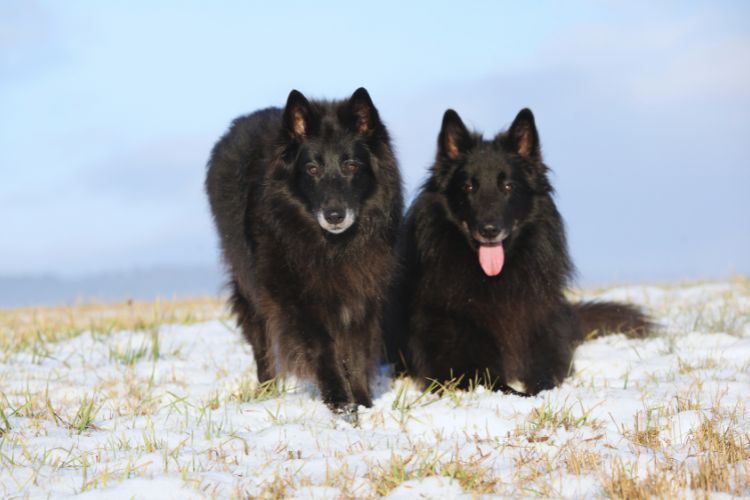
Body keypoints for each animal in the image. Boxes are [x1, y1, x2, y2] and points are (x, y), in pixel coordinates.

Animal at [204, 88, 406, 412]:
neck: (331, 246)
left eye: (351, 165)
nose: (334, 215)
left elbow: (356, 353)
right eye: (312, 169)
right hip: (250, 288)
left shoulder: (361, 296)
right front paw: (340, 403)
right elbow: (323, 348)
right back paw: (267, 392)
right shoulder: (295, 299)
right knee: (262, 346)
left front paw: (362, 402)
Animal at [390, 108, 656, 394]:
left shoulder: (543, 338)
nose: (489, 230)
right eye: (468, 187)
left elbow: (544, 381)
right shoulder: (458, 366)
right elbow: (502, 386)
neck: (494, 281)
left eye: (508, 187)